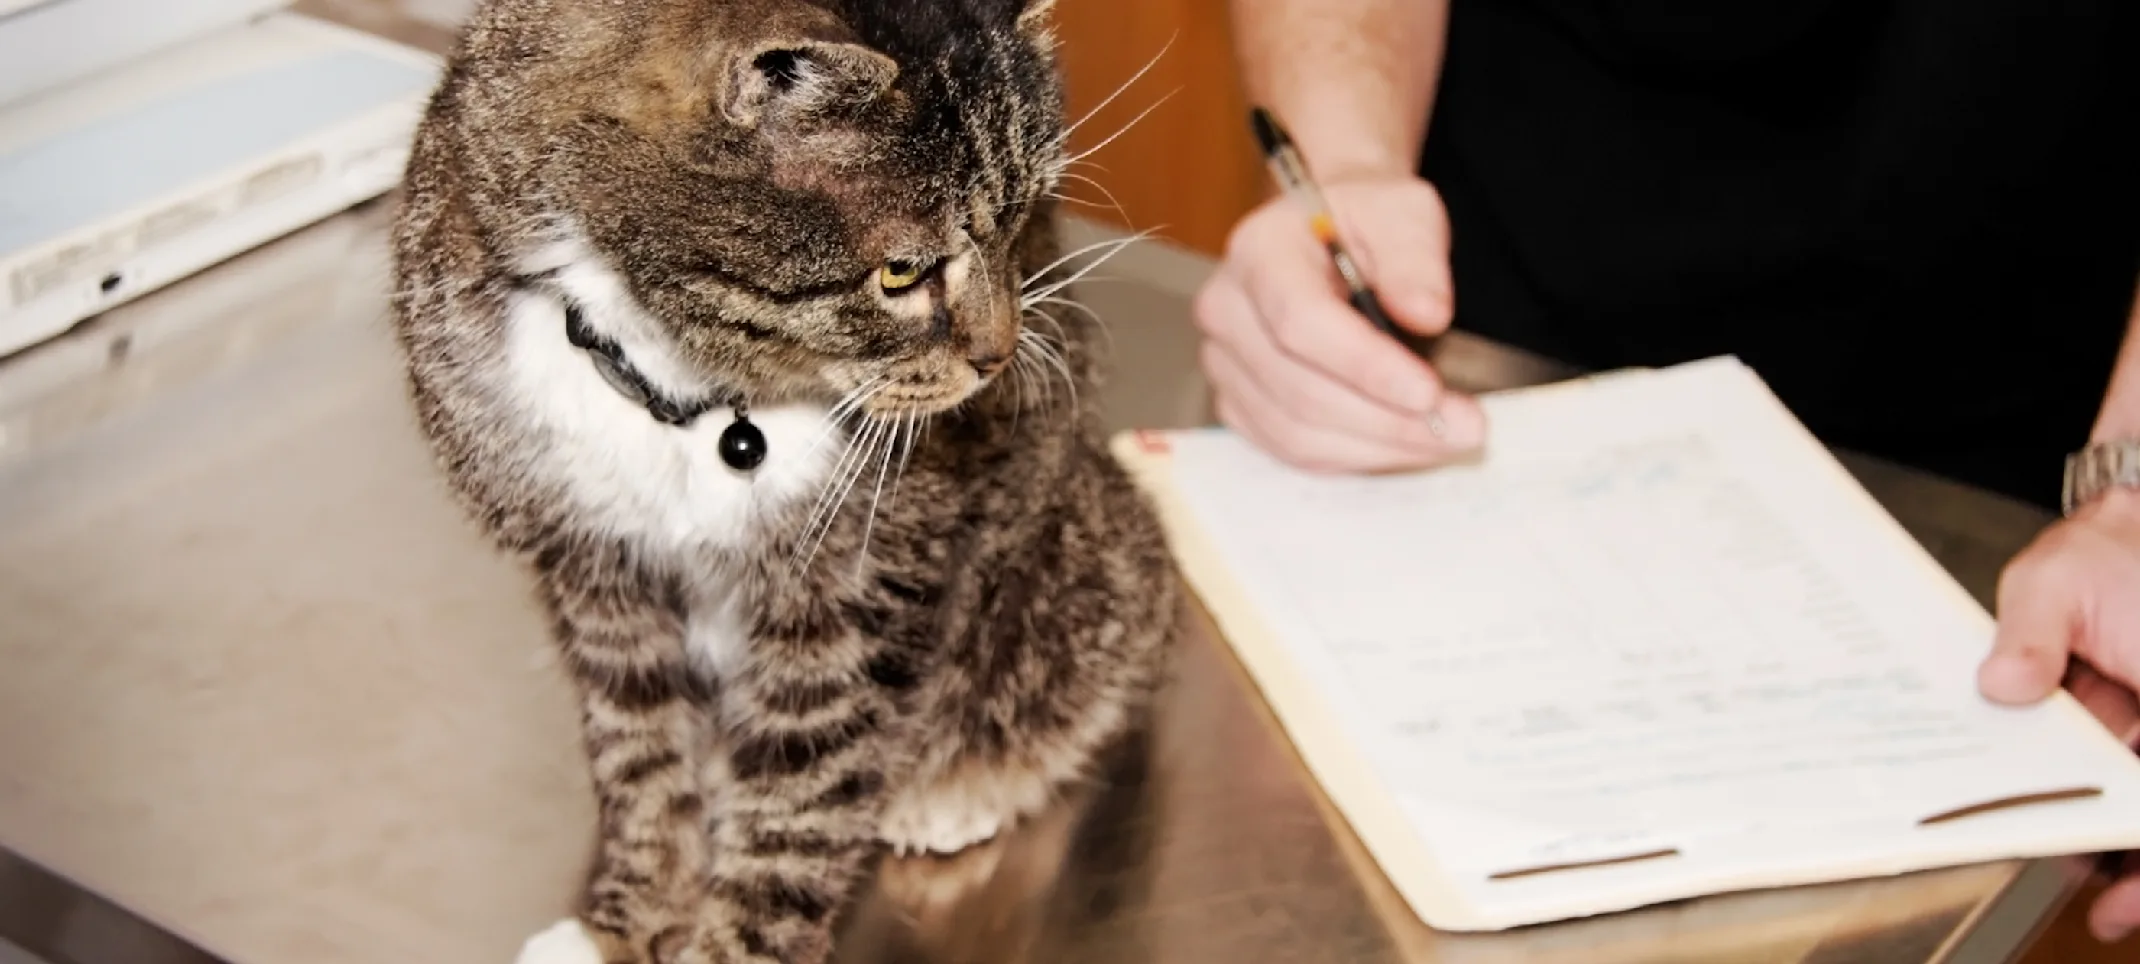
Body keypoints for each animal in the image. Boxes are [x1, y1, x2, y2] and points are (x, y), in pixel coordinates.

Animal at [393, 0, 1181, 959]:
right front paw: (624, 921)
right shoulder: (595, 570)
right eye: (901, 272)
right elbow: (640, 752)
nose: (998, 357)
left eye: (1022, 222)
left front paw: (732, 941)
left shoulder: (853, 599)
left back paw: (961, 788)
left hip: (1085, 559)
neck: (688, 397)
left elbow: (801, 798)